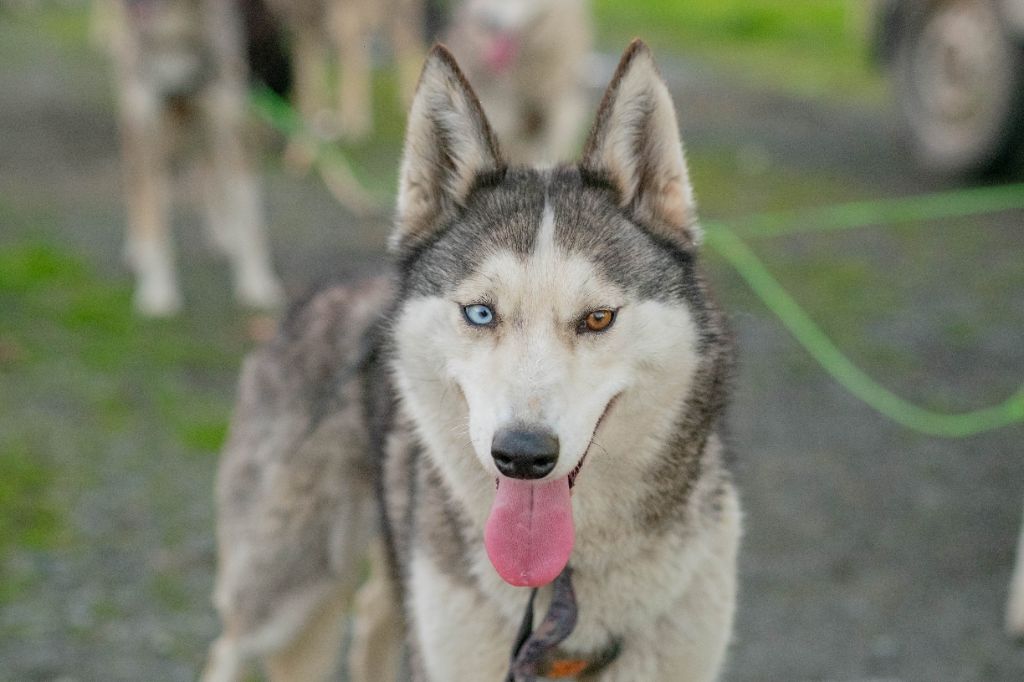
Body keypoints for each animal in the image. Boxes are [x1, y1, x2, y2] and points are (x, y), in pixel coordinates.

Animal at [95, 0, 280, 315]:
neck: (175, 32)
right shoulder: (151, 139)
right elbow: (158, 229)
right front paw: (157, 293)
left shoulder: (233, 131)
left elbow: (252, 223)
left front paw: (257, 286)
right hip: (134, 127)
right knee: (135, 187)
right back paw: (138, 249)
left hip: (206, 133)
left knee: (208, 169)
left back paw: (223, 233)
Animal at [203, 39, 741, 675]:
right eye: (481, 313)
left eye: (597, 318)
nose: (523, 455)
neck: (562, 596)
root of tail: (316, 296)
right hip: (283, 588)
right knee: (229, 647)